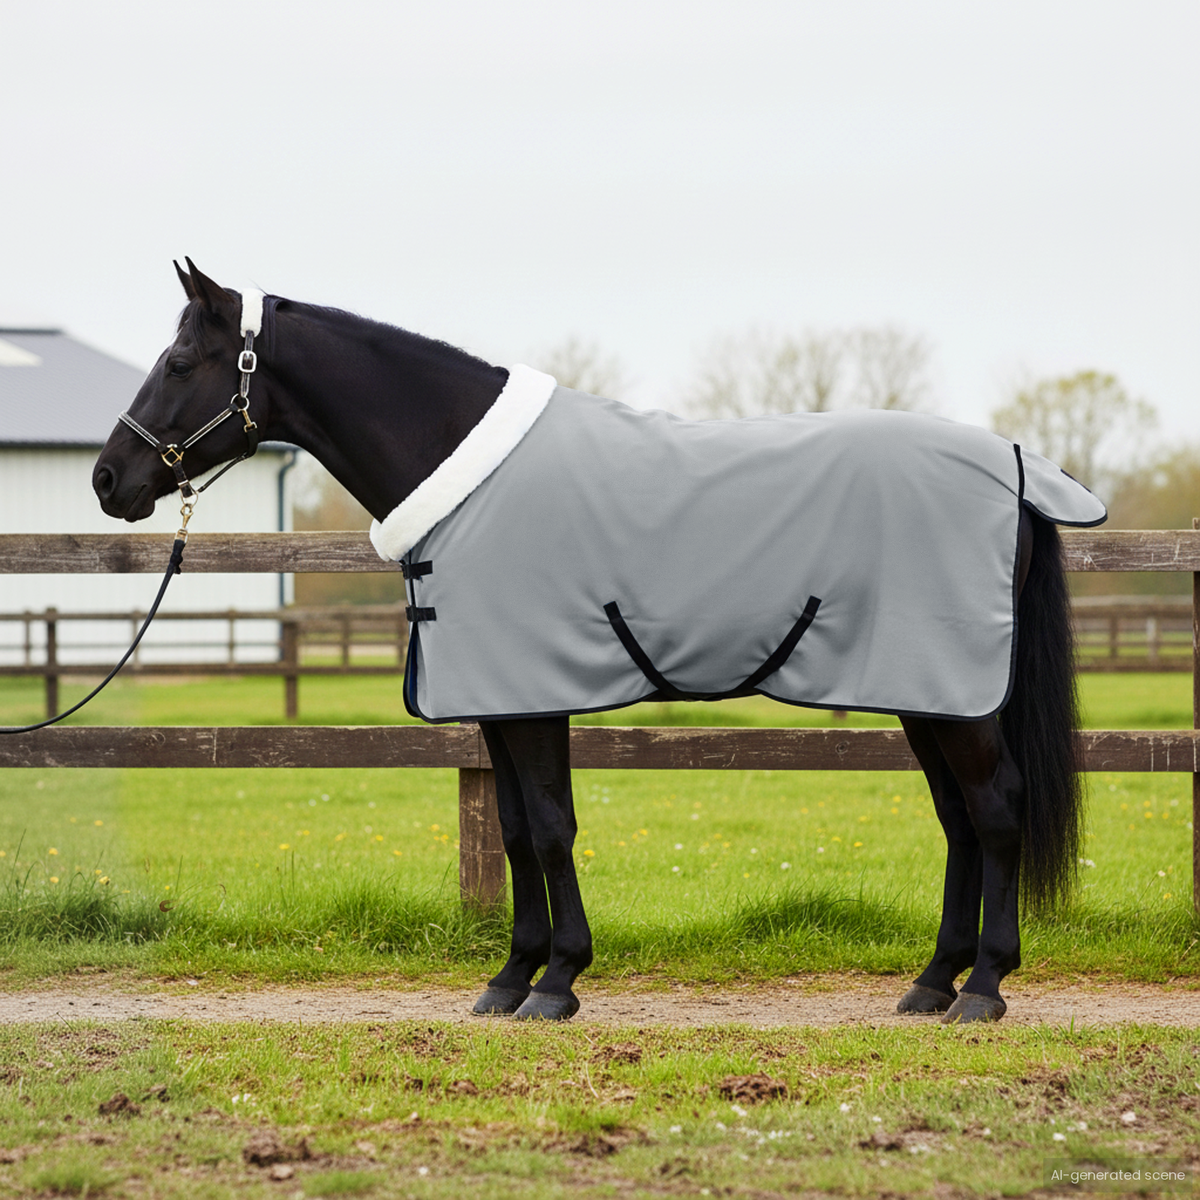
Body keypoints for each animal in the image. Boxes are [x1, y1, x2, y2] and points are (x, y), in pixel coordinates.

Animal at [93, 260, 1100, 1024]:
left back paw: (985, 987)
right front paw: (511, 978)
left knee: (996, 809)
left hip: (956, 697)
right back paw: (933, 983)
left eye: (180, 361)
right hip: (926, 692)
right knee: (959, 819)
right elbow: (511, 831)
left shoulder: (534, 697)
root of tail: (1017, 466)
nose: (108, 478)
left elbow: (548, 828)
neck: (465, 473)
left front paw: (559, 982)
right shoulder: (498, 701)